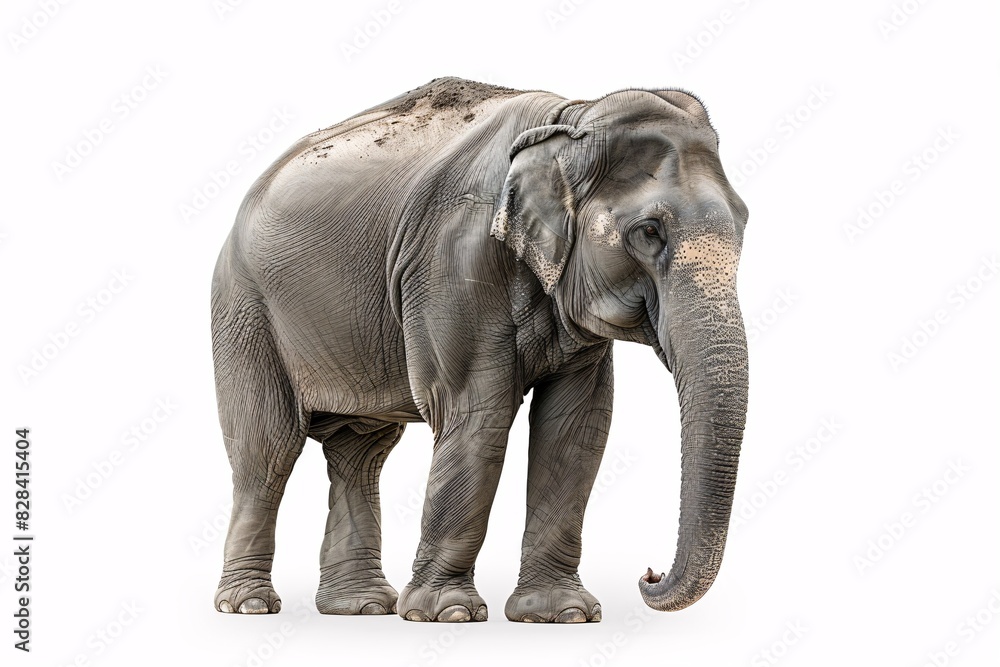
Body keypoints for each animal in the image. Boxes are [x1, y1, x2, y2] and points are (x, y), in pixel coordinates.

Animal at [210, 76, 749, 623]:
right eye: (649, 232)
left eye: (744, 224)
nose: (649, 573)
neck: (570, 117)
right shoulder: (451, 261)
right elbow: (476, 413)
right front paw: (446, 613)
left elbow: (576, 426)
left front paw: (561, 614)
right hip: (245, 310)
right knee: (267, 451)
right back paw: (250, 605)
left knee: (360, 452)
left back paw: (360, 606)